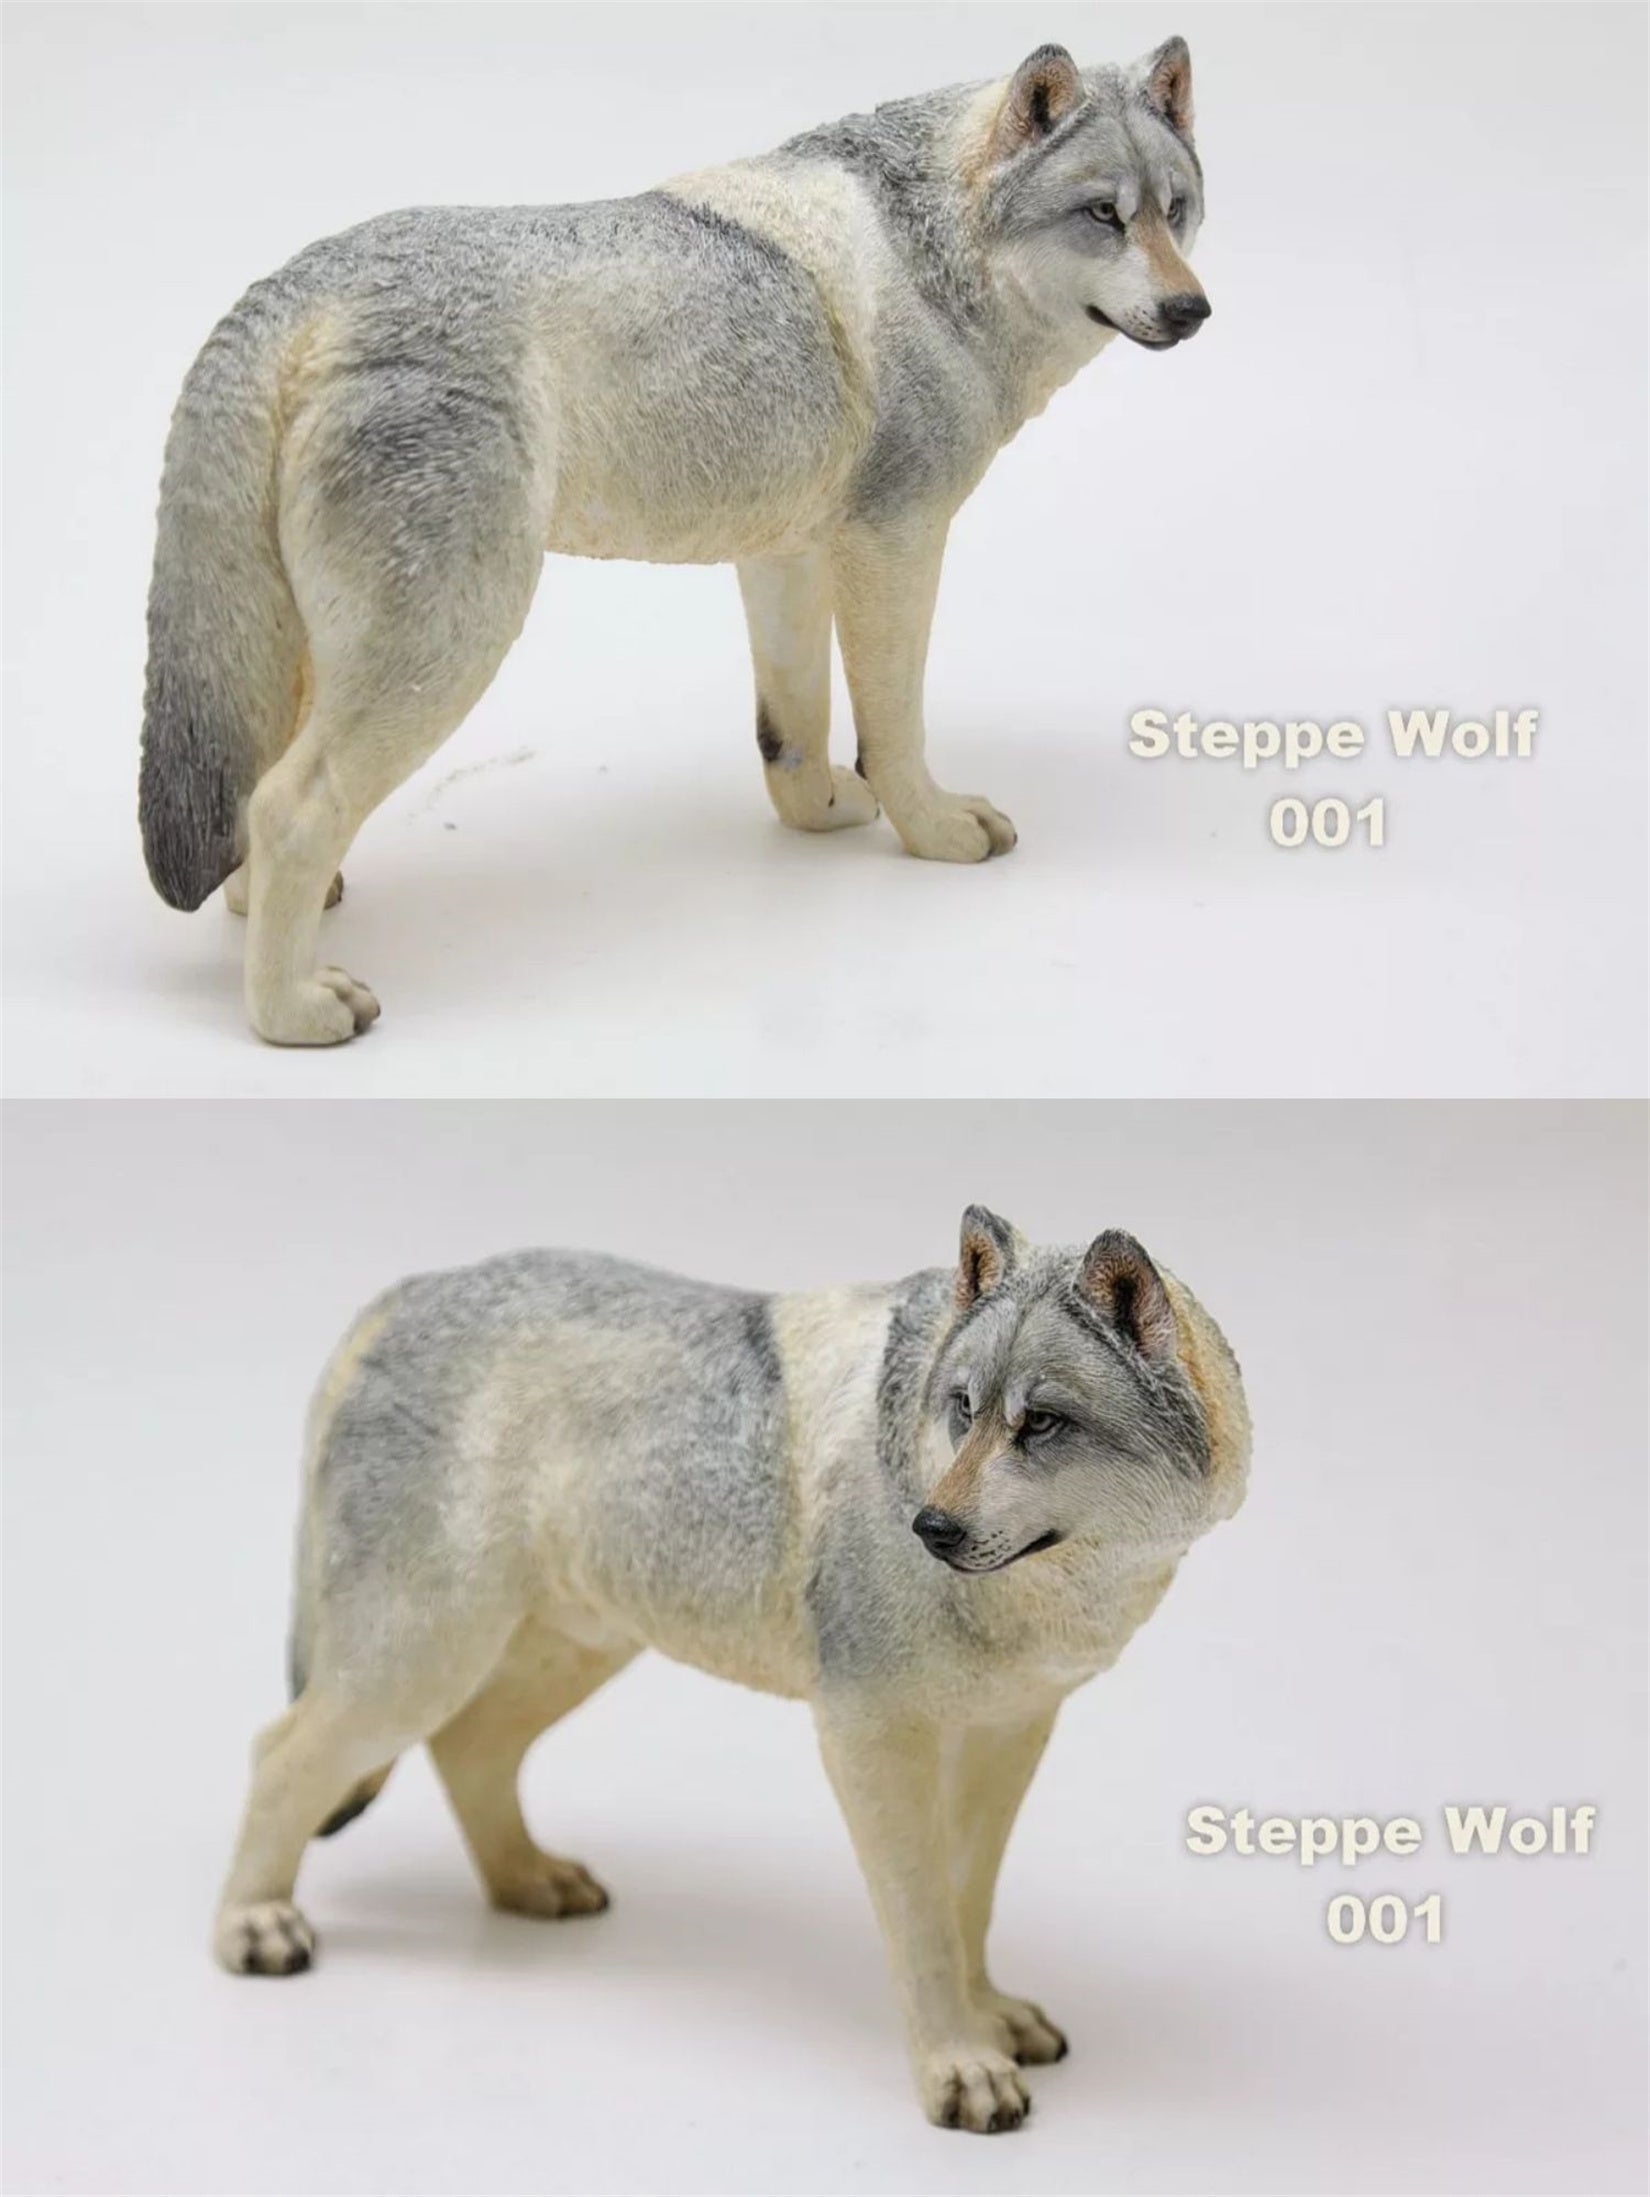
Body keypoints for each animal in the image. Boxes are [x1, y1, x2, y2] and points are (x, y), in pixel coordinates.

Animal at [139, 39, 1210, 1043]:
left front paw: (820, 816)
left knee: (254, 800)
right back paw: (291, 1011)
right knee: (289, 806)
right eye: (1104, 215)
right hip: (448, 645)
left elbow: (793, 729)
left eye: (1179, 209)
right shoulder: (896, 541)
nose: (1194, 309)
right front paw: (937, 829)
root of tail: (291, 288)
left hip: (314, 655)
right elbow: (894, 728)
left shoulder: (787, 554)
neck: (935, 251)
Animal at [214, 1209, 1249, 2132]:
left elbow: (970, 1904)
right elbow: (922, 1923)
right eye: (963, 1409)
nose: (931, 1527)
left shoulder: (1006, 1735)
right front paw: (960, 2066)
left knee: (468, 1748)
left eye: (1041, 1424)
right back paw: (254, 1922)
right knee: (279, 1751)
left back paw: (528, 1882)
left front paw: (989, 2017)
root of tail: (408, 1289)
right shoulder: (871, 1737)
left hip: (561, 1654)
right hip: (419, 1660)